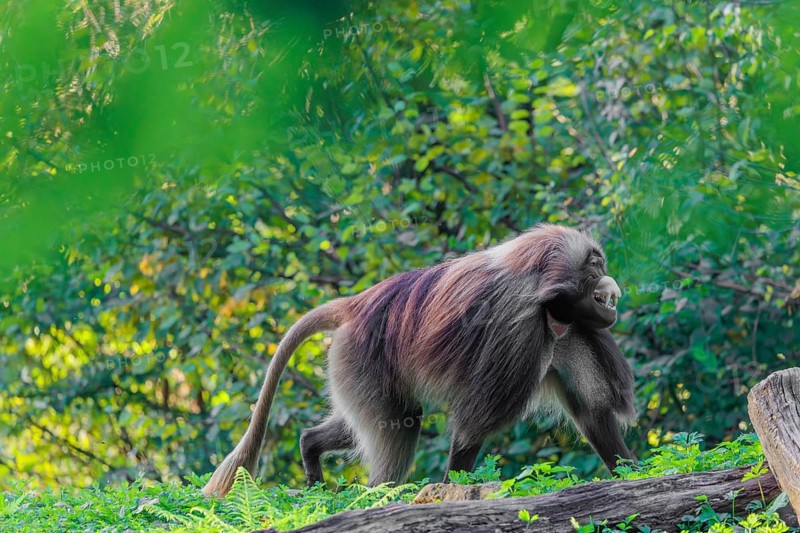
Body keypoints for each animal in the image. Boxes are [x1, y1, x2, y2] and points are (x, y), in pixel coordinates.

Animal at [202, 223, 636, 497]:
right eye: (594, 267)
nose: (610, 282)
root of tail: (354, 305)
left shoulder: (569, 331)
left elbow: (593, 412)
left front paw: (635, 475)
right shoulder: (519, 332)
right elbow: (472, 426)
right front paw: (450, 489)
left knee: (367, 422)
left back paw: (311, 452)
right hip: (361, 358)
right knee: (400, 425)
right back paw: (376, 496)